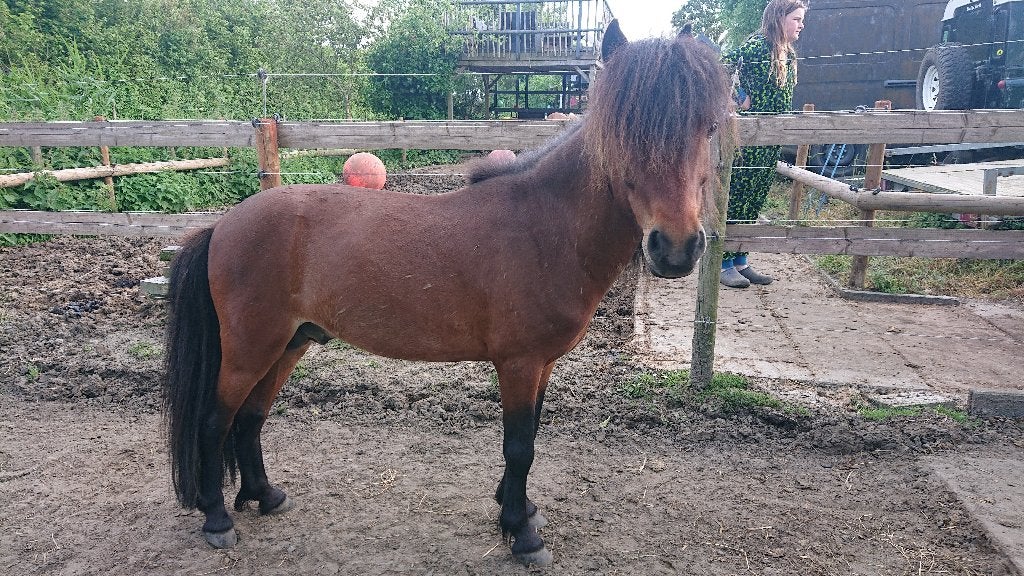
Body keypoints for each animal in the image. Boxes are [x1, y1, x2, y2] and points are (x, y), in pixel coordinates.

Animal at [163, 20, 729, 567]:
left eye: (709, 127)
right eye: (625, 130)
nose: (676, 248)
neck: (546, 227)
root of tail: (222, 225)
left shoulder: (542, 364)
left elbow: (532, 434)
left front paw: (519, 509)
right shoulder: (519, 363)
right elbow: (519, 446)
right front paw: (521, 534)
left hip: (290, 343)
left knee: (250, 418)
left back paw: (264, 495)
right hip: (251, 348)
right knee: (214, 422)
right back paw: (218, 519)